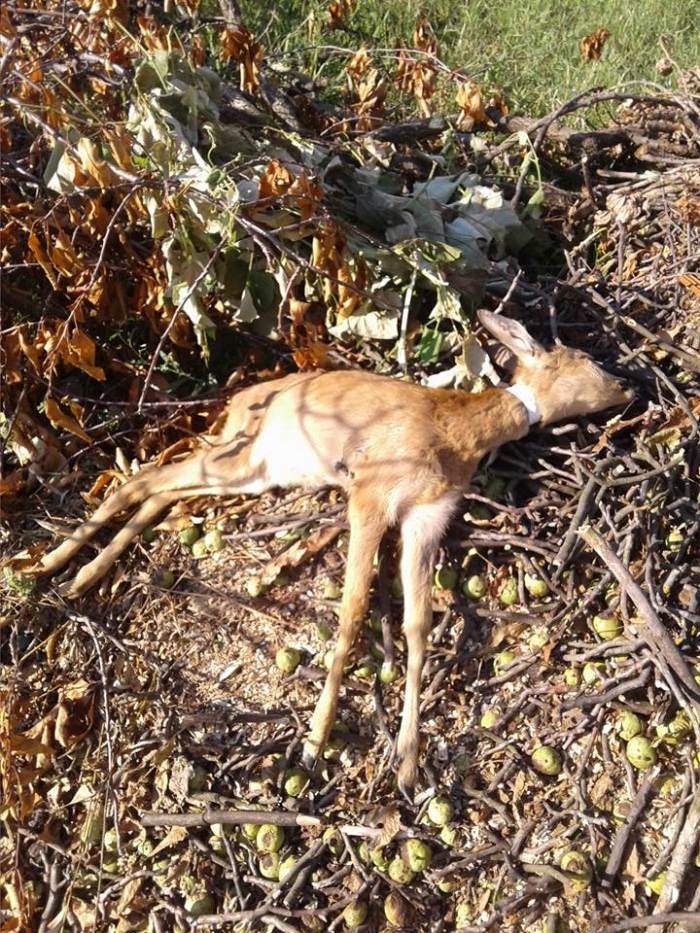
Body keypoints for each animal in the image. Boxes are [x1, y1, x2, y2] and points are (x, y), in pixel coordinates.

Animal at [35, 312, 632, 792]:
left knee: (164, 492)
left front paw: (407, 762)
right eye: (584, 357)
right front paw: (315, 739)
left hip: (254, 471)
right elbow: (351, 612)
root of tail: (233, 403)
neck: (455, 433)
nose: (627, 385)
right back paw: (56, 568)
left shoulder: (426, 516)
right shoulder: (370, 492)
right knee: (142, 480)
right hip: (245, 457)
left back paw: (79, 573)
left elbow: (418, 626)